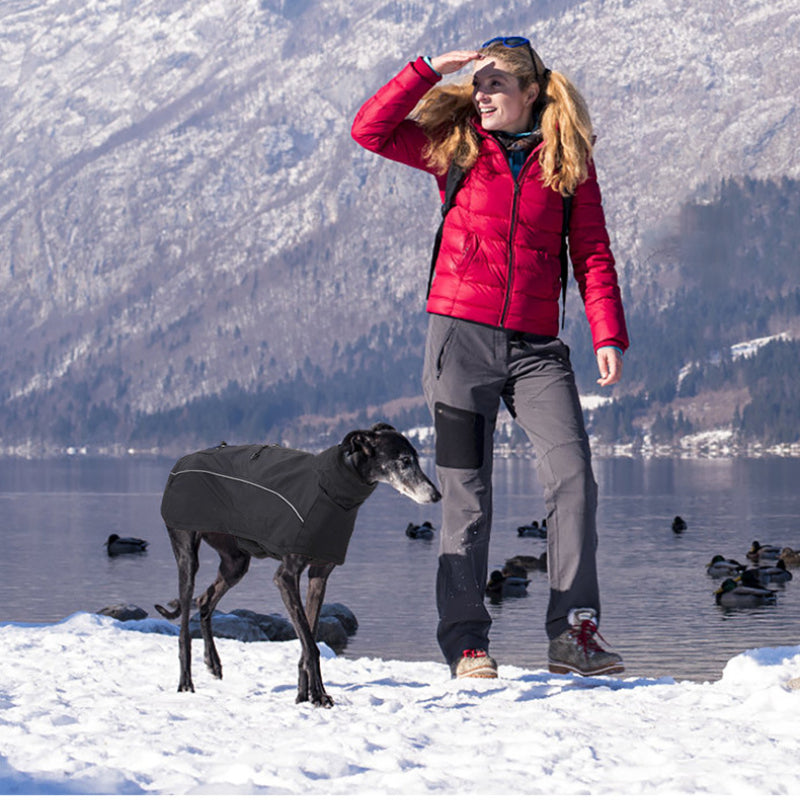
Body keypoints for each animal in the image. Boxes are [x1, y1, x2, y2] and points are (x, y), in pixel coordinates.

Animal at [156, 422, 440, 708]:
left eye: (416, 458)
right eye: (404, 460)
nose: (437, 495)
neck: (332, 487)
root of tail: (182, 461)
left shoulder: (319, 576)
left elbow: (309, 638)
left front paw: (306, 694)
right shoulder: (286, 576)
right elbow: (310, 644)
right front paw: (320, 695)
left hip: (235, 562)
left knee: (205, 601)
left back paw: (213, 663)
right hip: (187, 553)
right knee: (184, 627)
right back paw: (185, 683)